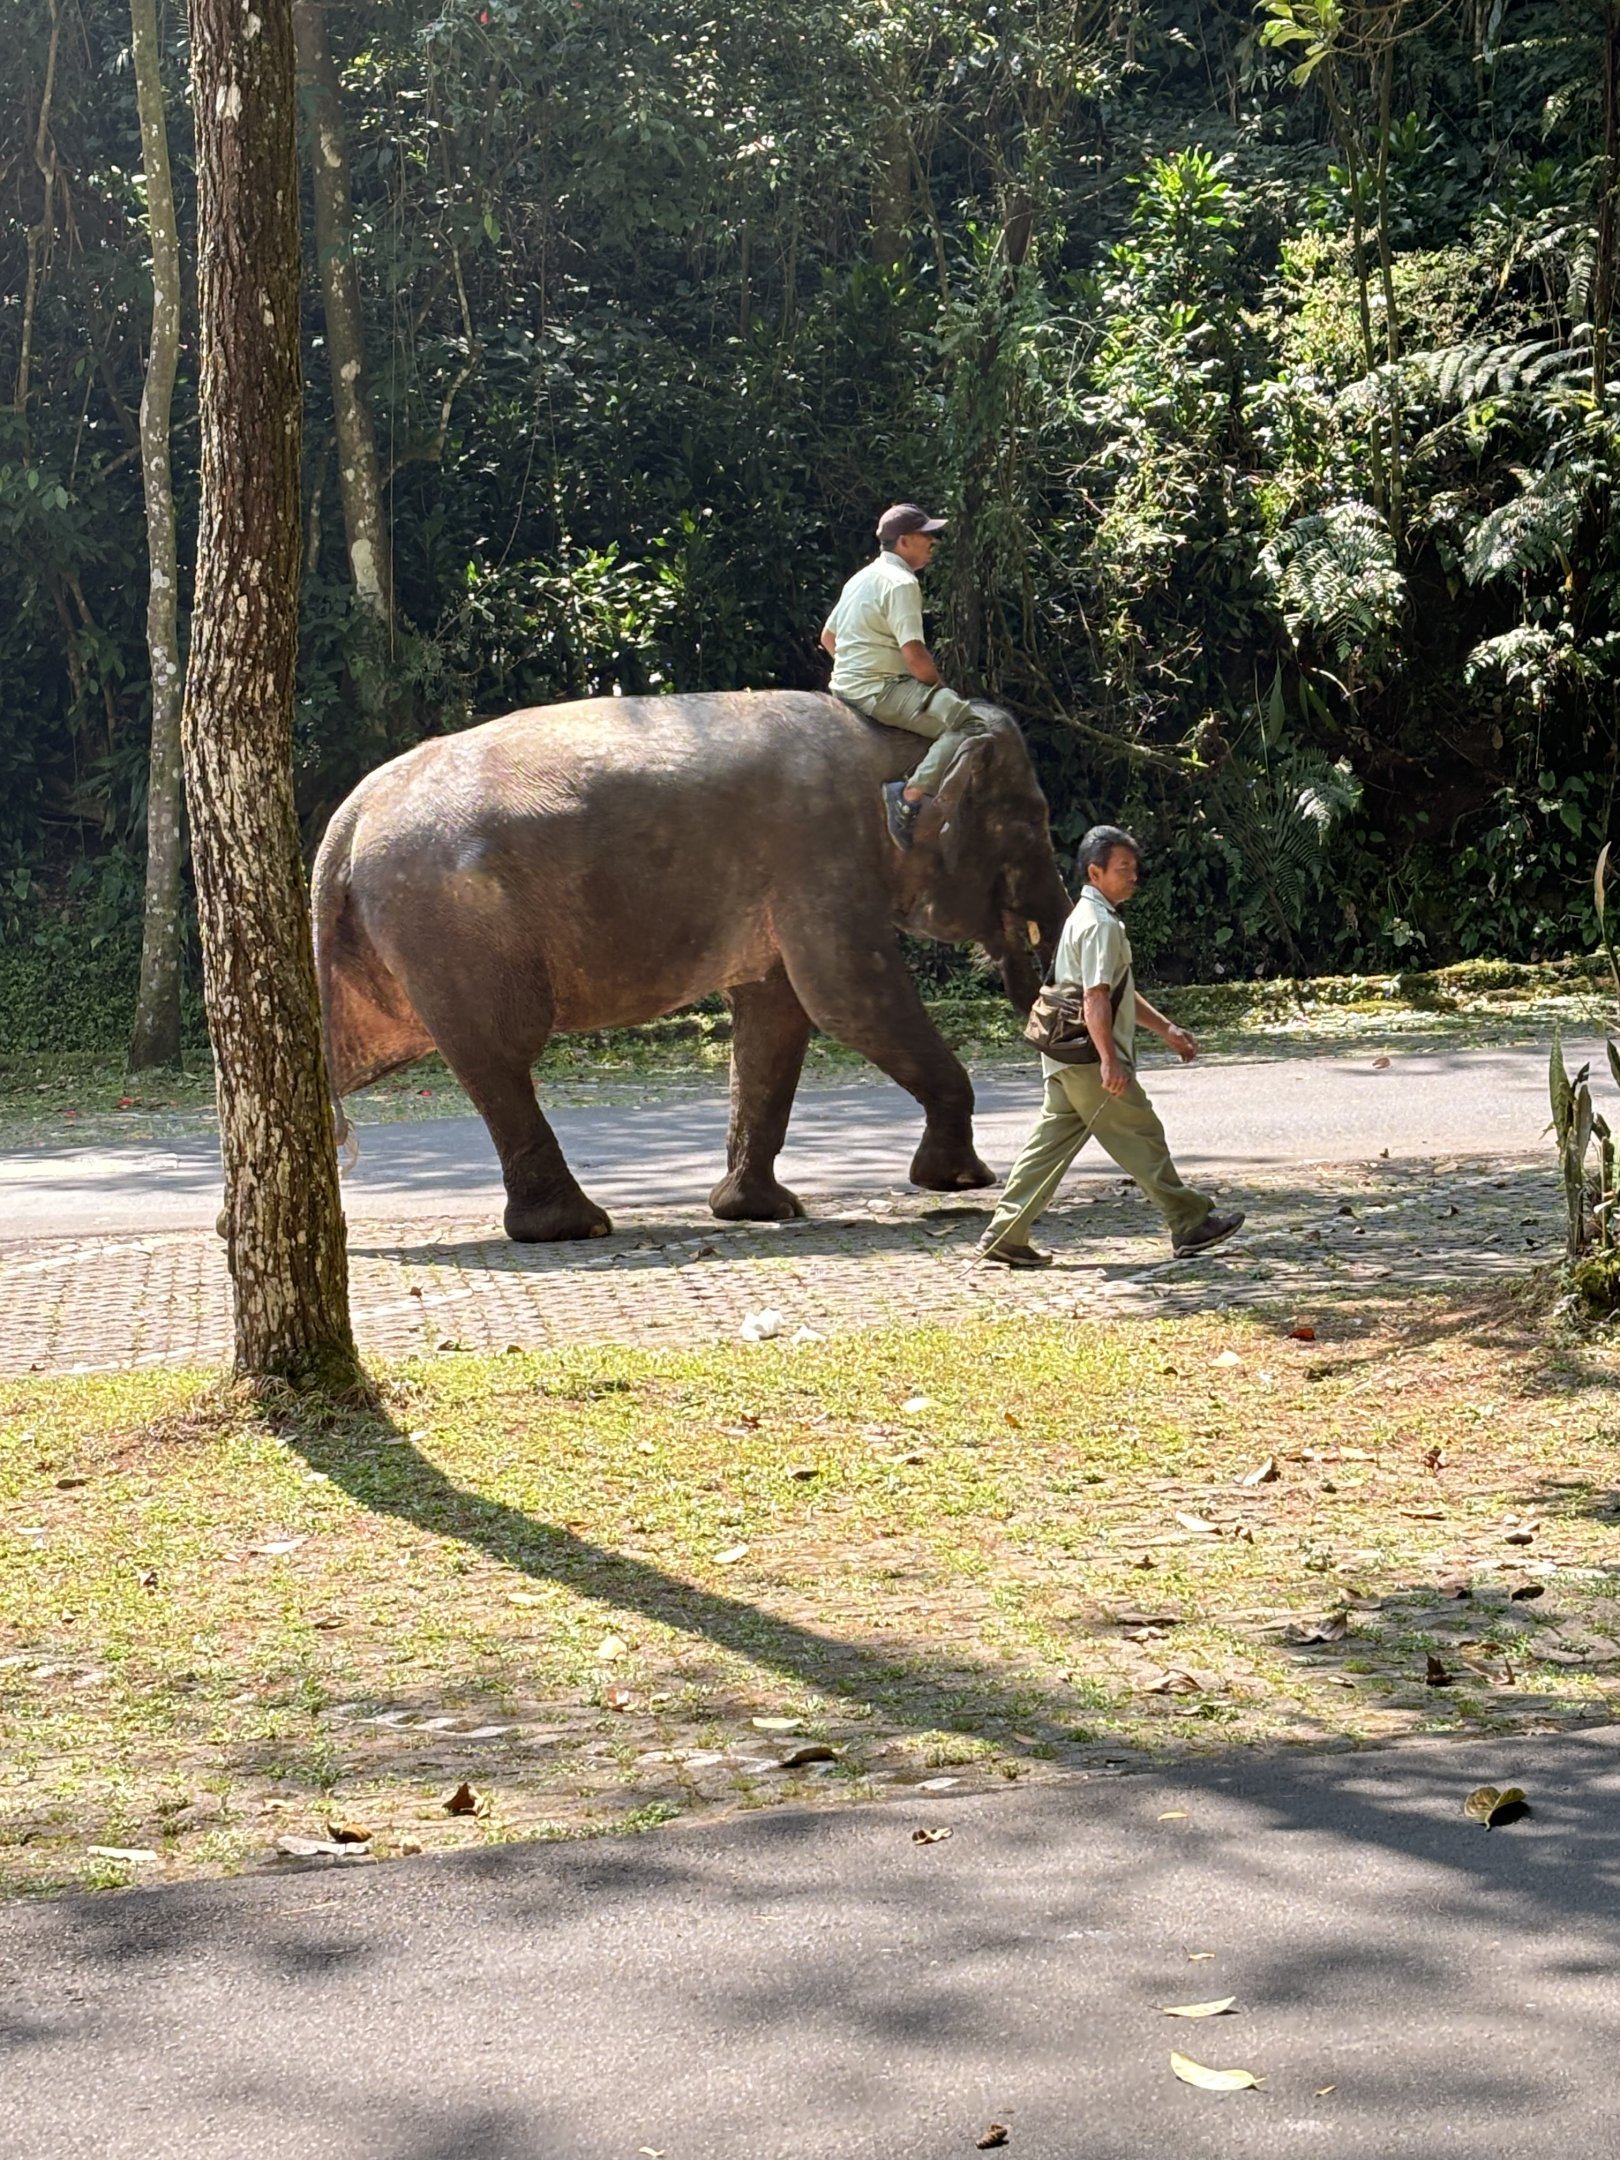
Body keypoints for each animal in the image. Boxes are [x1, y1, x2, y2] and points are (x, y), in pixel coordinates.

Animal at [311, 689, 1072, 1241]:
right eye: (1033, 819)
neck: (894, 739)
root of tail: (348, 817)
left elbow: (775, 1018)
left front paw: (761, 1211)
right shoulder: (822, 852)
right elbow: (846, 995)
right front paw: (961, 1182)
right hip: (452, 927)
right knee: (500, 1055)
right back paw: (576, 1228)